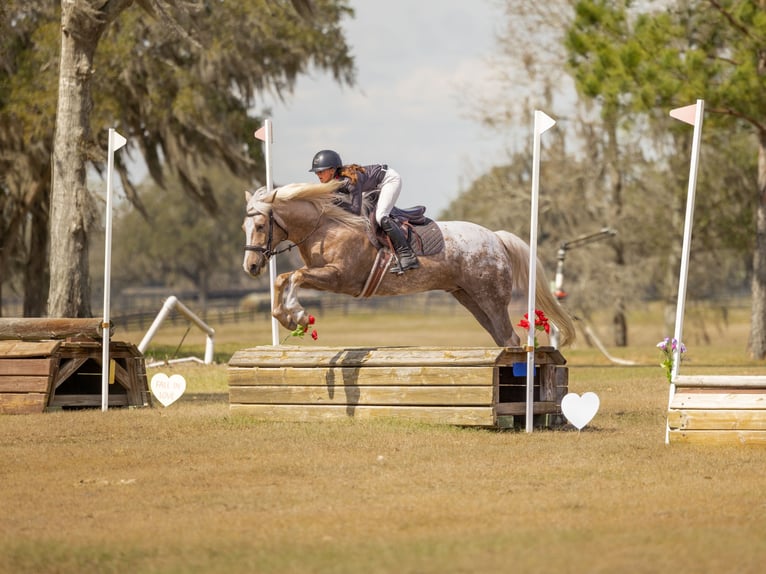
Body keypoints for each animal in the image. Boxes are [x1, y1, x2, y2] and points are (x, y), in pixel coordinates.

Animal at [242, 180, 575, 348]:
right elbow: (283, 278)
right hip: (470, 299)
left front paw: (297, 315)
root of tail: (495, 237)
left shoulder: (339, 277)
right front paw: (285, 318)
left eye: (259, 225)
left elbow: (294, 276)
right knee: (503, 339)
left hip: (490, 298)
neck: (325, 226)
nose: (251, 267)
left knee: (510, 338)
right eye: (244, 227)